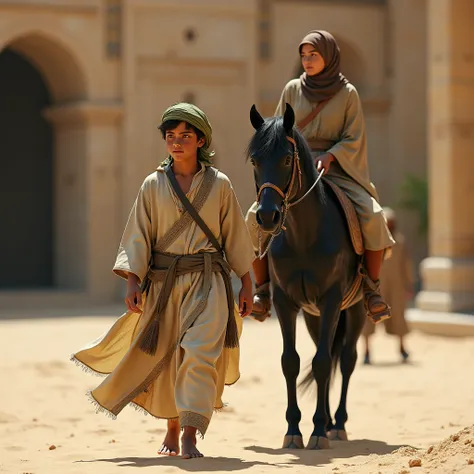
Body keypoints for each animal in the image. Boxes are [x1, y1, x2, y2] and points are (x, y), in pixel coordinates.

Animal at [248, 103, 366, 448]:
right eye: (255, 160)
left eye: (287, 159)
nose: (267, 216)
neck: (304, 236)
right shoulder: (285, 302)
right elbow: (293, 362)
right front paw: (294, 430)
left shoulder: (332, 300)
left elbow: (325, 363)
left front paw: (317, 430)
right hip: (313, 315)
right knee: (321, 352)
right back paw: (325, 422)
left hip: (355, 309)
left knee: (347, 359)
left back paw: (336, 423)